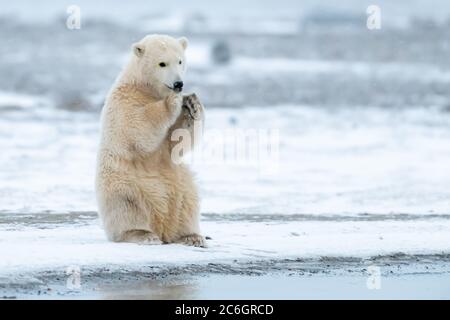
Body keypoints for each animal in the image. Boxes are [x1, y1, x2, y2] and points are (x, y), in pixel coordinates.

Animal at [96, 33, 207, 248]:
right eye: (162, 63)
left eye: (180, 61)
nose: (178, 84)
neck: (145, 88)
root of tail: (162, 226)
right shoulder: (124, 101)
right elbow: (137, 128)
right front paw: (171, 102)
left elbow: (177, 142)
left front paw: (193, 104)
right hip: (123, 182)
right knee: (127, 205)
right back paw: (143, 234)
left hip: (180, 183)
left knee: (188, 202)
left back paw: (191, 236)